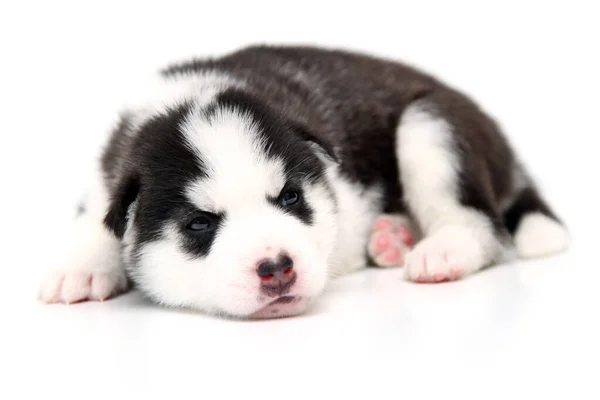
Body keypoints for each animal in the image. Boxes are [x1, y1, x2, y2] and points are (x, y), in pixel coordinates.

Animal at [38, 44, 572, 318]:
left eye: (290, 197)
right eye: (199, 224)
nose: (277, 267)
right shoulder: (111, 169)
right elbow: (97, 216)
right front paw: (81, 268)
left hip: (430, 125)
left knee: (481, 223)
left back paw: (440, 250)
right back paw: (391, 236)